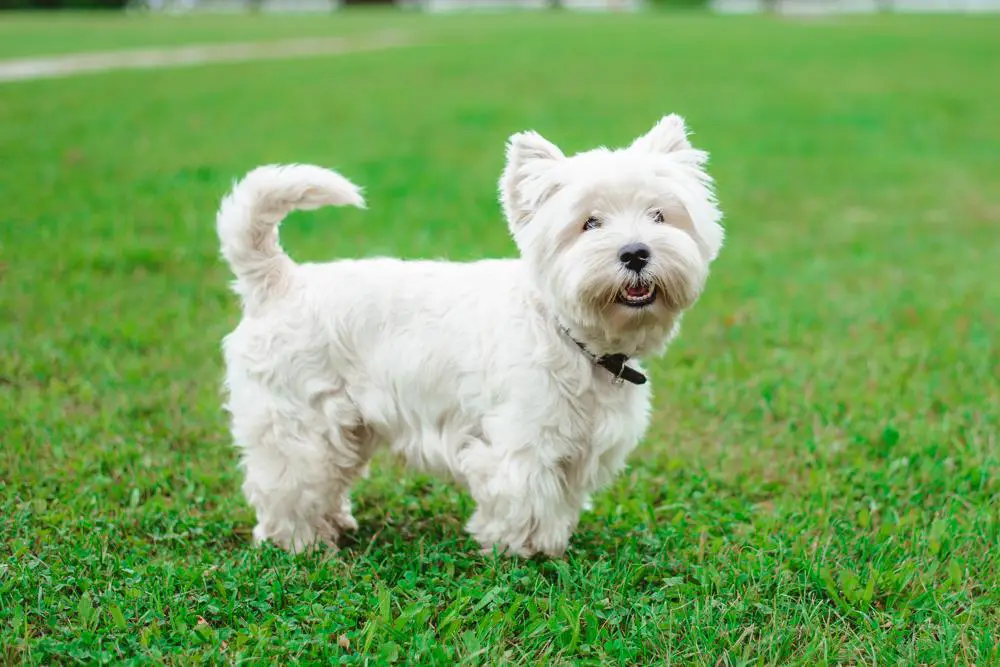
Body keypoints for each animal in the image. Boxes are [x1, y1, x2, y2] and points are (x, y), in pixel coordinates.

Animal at [217, 115, 720, 560]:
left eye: (659, 216)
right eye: (590, 223)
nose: (635, 252)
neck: (572, 339)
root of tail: (279, 282)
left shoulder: (579, 448)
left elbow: (559, 502)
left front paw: (551, 544)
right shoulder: (521, 441)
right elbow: (525, 500)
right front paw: (521, 551)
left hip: (348, 428)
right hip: (298, 423)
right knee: (288, 486)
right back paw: (301, 542)